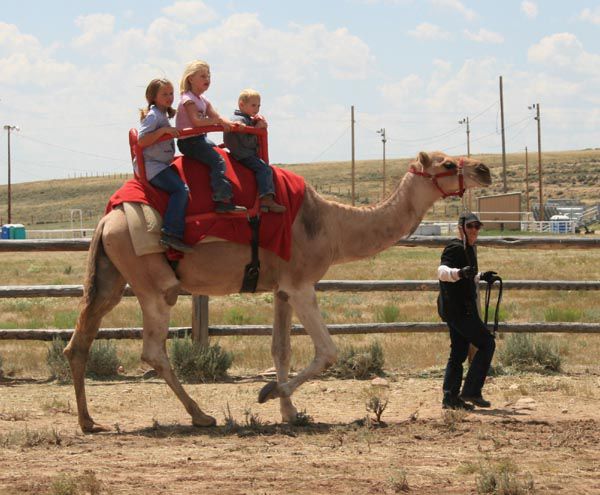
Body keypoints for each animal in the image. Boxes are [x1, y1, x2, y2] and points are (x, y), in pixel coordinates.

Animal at [63, 151, 490, 434]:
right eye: (446, 164)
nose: (484, 169)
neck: (333, 226)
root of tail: (106, 219)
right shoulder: (301, 284)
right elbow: (328, 351)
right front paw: (268, 394)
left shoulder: (282, 288)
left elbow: (280, 349)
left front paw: (289, 411)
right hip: (153, 283)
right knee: (153, 349)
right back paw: (201, 416)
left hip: (111, 276)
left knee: (80, 339)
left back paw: (89, 421)